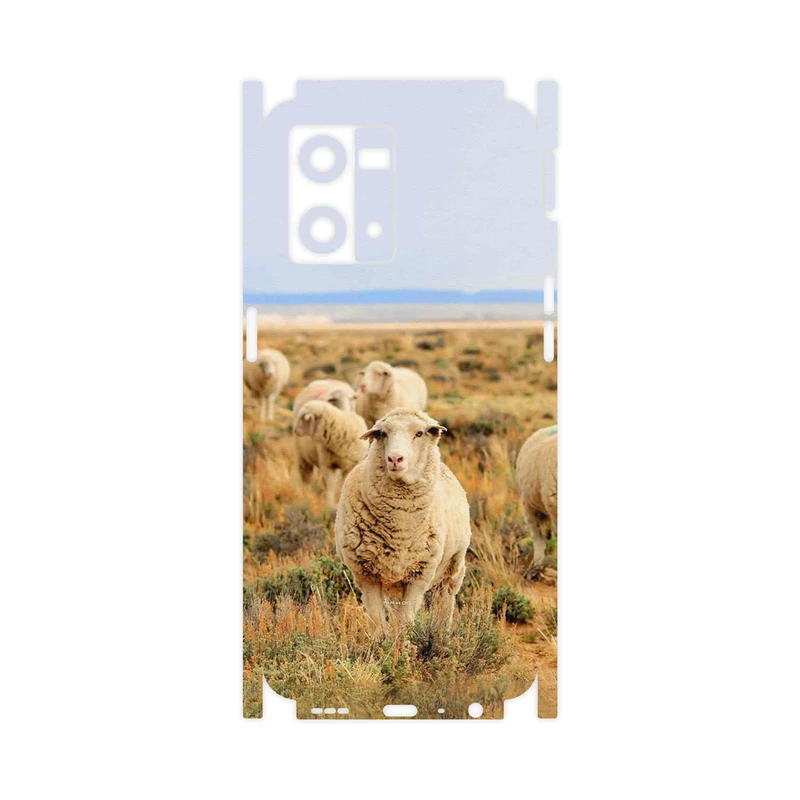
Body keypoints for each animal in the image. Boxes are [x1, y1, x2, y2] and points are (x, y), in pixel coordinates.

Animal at [335, 408, 471, 633]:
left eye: (419, 433)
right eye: (383, 433)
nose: (395, 458)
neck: (400, 527)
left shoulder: (419, 575)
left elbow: (405, 621)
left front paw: (403, 642)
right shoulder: (366, 575)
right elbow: (377, 621)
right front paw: (382, 641)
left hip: (453, 566)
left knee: (444, 600)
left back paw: (441, 633)